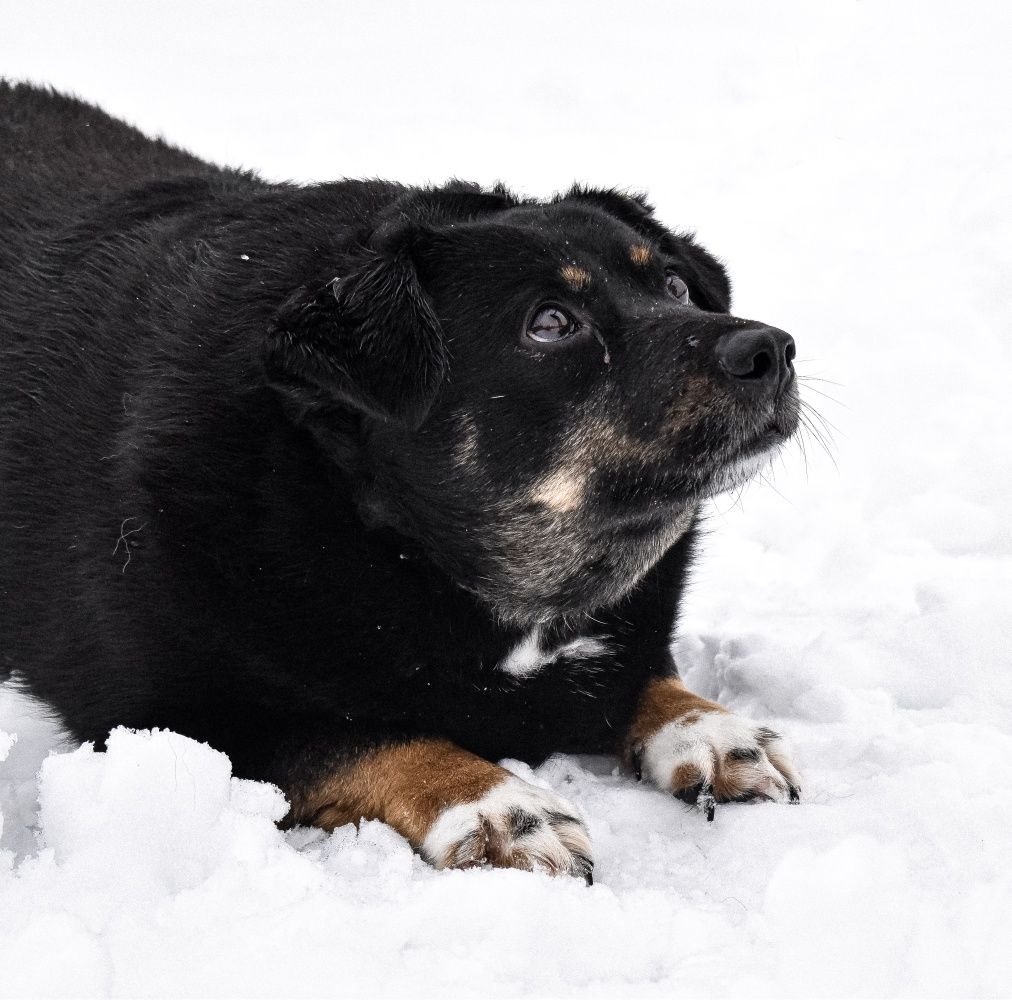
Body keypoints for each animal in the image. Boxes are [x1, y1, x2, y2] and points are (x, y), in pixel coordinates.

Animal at [3, 84, 801, 882]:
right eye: (550, 323)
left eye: (675, 285)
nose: (770, 348)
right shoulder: (167, 719)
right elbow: (364, 736)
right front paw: (497, 805)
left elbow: (645, 671)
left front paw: (709, 727)